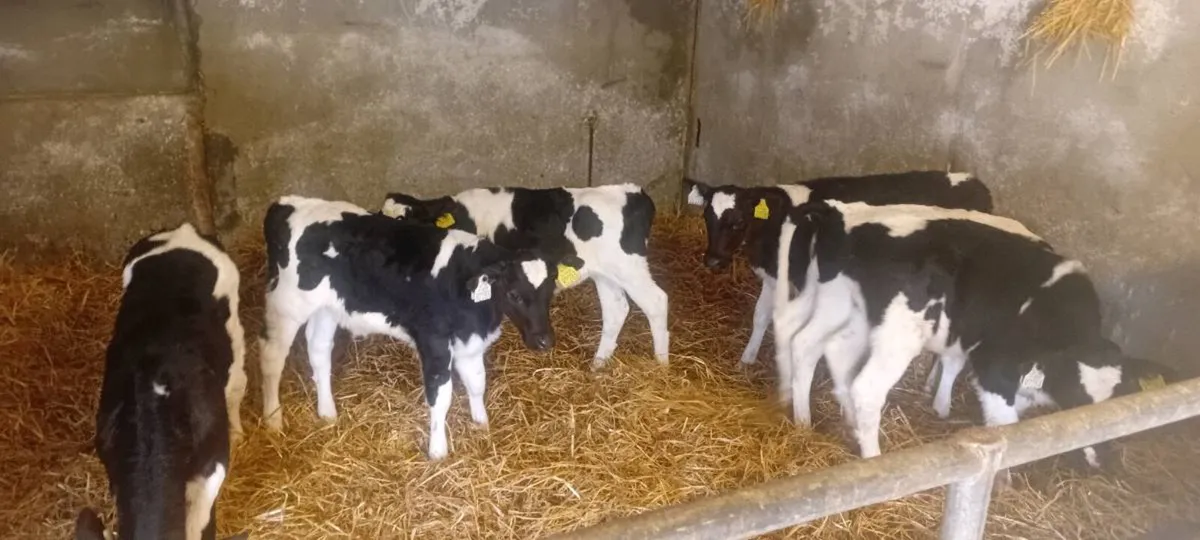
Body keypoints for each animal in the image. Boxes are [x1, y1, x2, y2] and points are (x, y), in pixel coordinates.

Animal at [259, 196, 570, 460]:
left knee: (319, 351)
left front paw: (481, 424)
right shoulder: (433, 341)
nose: (545, 341)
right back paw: (273, 419)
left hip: (327, 308)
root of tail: (288, 203)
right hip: (287, 304)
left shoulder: (468, 341)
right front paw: (438, 452)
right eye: (514, 294)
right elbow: (441, 394)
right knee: (271, 356)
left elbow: (477, 383)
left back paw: (327, 413)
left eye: (549, 290)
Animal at [381, 183, 668, 370]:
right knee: (616, 308)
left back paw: (661, 364)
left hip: (629, 266)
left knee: (656, 301)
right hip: (606, 273)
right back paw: (599, 363)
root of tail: (632, 192)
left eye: (406, 219)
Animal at [683, 171, 993, 417]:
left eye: (737, 221)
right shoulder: (773, 278)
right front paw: (746, 360)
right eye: (707, 217)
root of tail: (973, 180)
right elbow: (760, 317)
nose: (712, 261)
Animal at [772, 199, 1177, 470]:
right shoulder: (994, 361)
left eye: (1121, 397)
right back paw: (871, 455)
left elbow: (957, 367)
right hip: (898, 333)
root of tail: (846, 213)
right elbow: (1006, 423)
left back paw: (811, 420)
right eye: (1076, 398)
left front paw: (941, 404)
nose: (1102, 458)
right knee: (865, 386)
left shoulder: (968, 335)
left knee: (812, 343)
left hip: (843, 306)